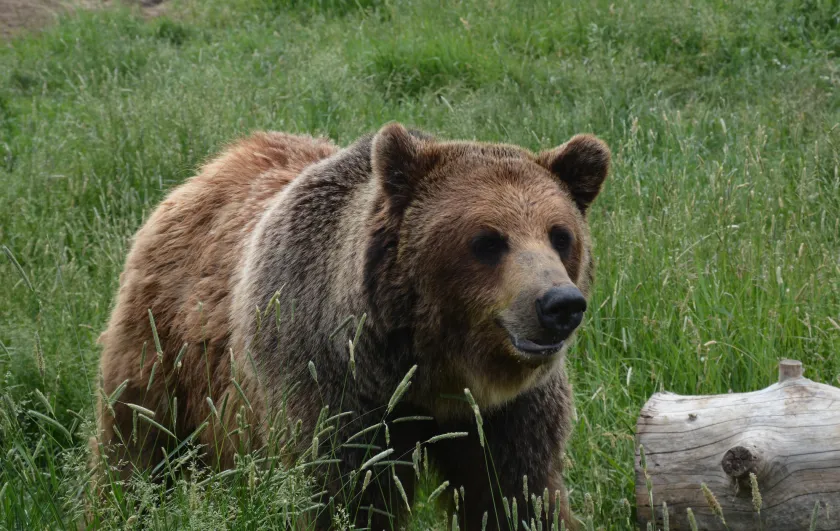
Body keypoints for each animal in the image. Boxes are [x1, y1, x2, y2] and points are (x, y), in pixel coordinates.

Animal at [92, 122, 610, 530]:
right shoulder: (331, 390)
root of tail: (214, 166)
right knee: (136, 440)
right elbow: (347, 499)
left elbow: (515, 495)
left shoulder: (508, 415)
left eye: (560, 235)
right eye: (487, 240)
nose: (559, 304)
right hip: (164, 343)